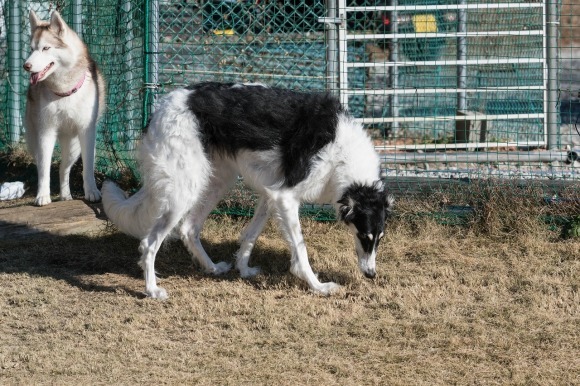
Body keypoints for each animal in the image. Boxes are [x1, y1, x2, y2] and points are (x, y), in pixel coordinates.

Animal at [104, 81, 394, 298]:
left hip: (215, 181)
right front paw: (317, 286)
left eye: (379, 238)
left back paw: (212, 268)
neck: (342, 151)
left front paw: (243, 270)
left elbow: (250, 236)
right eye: (365, 236)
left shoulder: (271, 194)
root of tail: (160, 108)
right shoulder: (286, 196)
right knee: (149, 243)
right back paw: (152, 290)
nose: (371, 274)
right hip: (184, 190)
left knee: (188, 228)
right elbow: (300, 250)